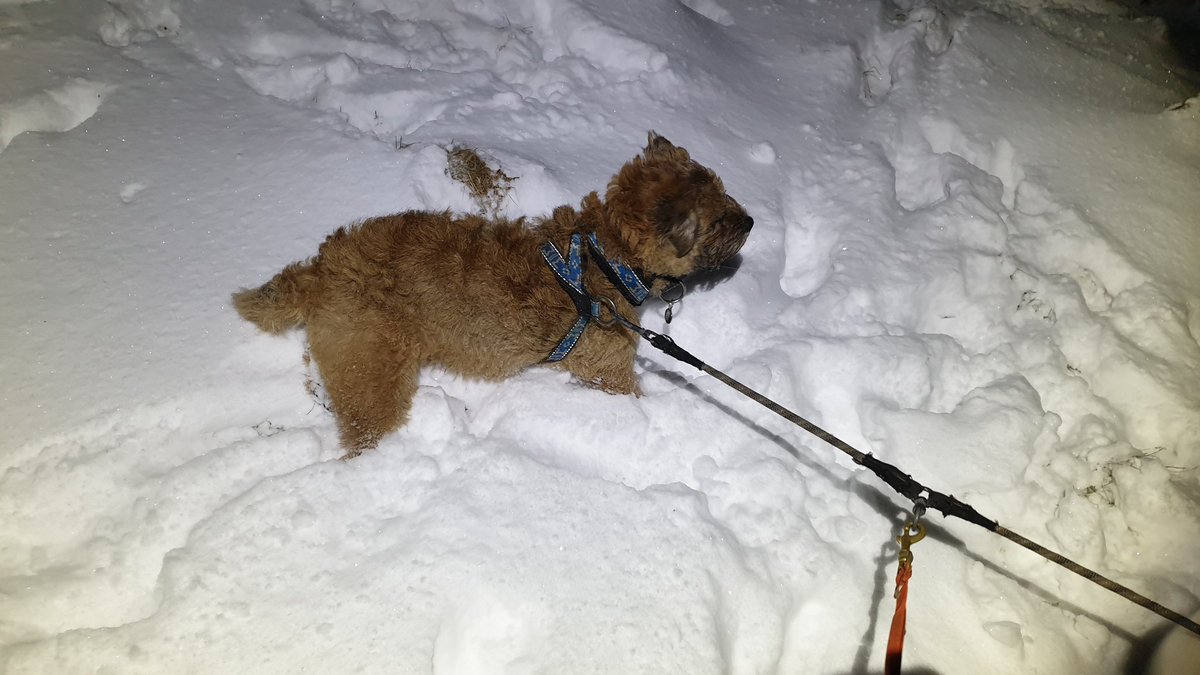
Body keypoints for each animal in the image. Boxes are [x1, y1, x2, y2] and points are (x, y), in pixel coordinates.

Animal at [232, 132, 748, 454]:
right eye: (718, 221)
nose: (751, 222)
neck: (606, 253)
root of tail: (320, 268)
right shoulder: (609, 372)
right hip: (373, 374)